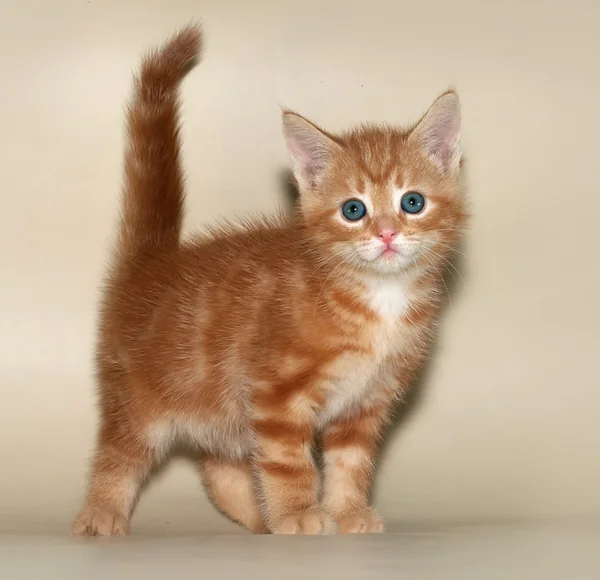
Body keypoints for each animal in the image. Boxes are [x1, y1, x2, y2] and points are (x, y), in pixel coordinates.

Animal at [72, 26, 468, 536]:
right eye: (353, 209)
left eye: (412, 202)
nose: (386, 233)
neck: (377, 296)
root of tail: (152, 260)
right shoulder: (275, 390)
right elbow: (285, 460)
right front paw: (299, 513)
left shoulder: (365, 403)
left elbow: (350, 462)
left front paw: (347, 512)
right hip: (138, 397)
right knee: (117, 453)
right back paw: (100, 514)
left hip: (218, 411)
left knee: (219, 464)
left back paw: (256, 519)